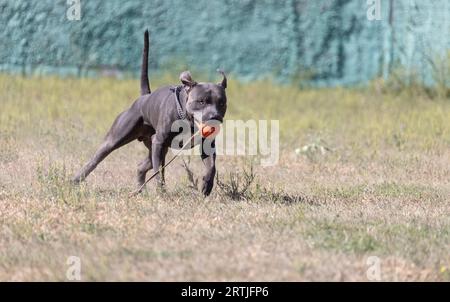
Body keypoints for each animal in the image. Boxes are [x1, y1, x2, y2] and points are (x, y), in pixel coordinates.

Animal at [75, 30, 229, 196]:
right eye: (201, 101)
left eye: (221, 103)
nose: (214, 117)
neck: (187, 119)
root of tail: (144, 98)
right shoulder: (159, 143)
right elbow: (159, 172)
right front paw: (162, 193)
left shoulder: (206, 145)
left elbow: (211, 166)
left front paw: (207, 185)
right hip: (119, 139)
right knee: (96, 159)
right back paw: (76, 179)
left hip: (155, 148)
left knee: (141, 166)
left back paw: (140, 190)